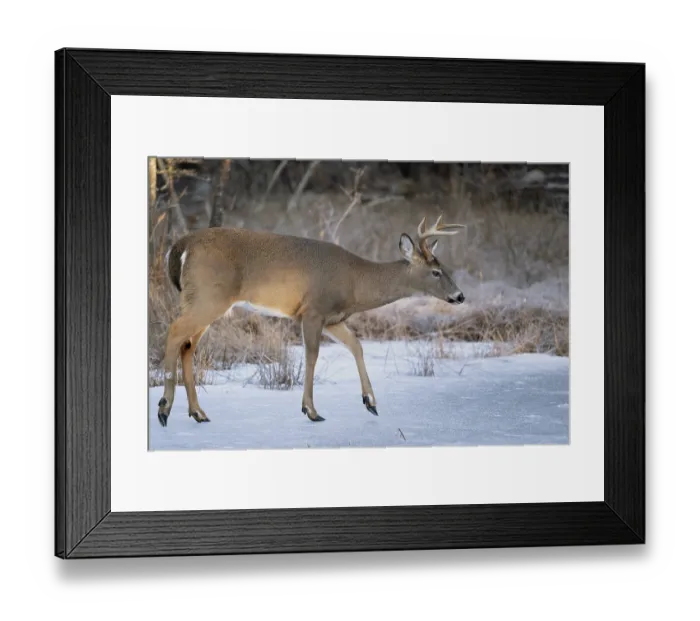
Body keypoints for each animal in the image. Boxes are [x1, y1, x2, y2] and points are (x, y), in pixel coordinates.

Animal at [156, 215, 466, 427]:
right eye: (436, 272)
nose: (460, 295)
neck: (356, 281)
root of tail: (180, 247)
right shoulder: (313, 310)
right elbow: (312, 355)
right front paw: (311, 410)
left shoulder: (333, 318)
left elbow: (356, 346)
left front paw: (370, 402)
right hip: (209, 297)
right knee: (174, 332)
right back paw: (164, 408)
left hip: (202, 301)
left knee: (188, 346)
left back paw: (198, 412)